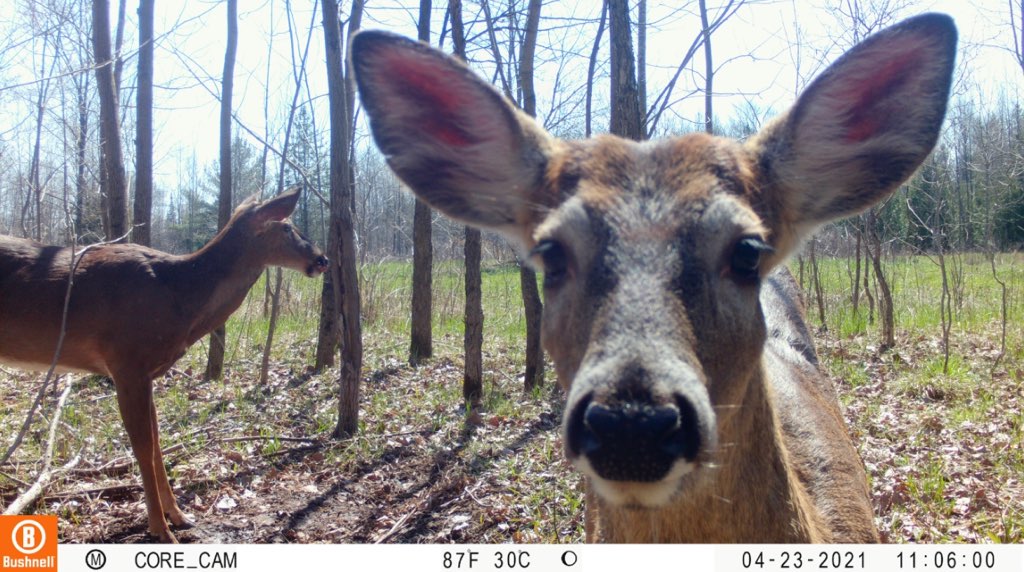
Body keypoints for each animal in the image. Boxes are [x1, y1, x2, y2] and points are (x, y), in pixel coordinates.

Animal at [0, 188, 325, 540]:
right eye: (287, 227)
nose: (322, 258)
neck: (178, 296)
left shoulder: (147, 373)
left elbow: (157, 443)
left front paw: (180, 516)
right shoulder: (126, 362)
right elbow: (143, 446)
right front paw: (161, 529)